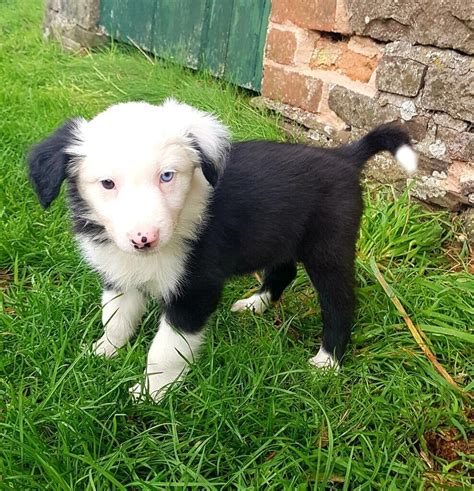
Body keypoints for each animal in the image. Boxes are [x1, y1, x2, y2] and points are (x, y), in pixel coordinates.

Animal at [27, 100, 416, 404]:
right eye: (107, 184)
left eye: (167, 176)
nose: (144, 239)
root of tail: (344, 156)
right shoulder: (120, 271)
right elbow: (116, 316)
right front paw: (103, 351)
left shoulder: (196, 289)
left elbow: (166, 349)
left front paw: (153, 393)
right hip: (280, 233)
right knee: (284, 270)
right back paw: (256, 304)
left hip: (328, 245)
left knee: (340, 301)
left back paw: (327, 362)